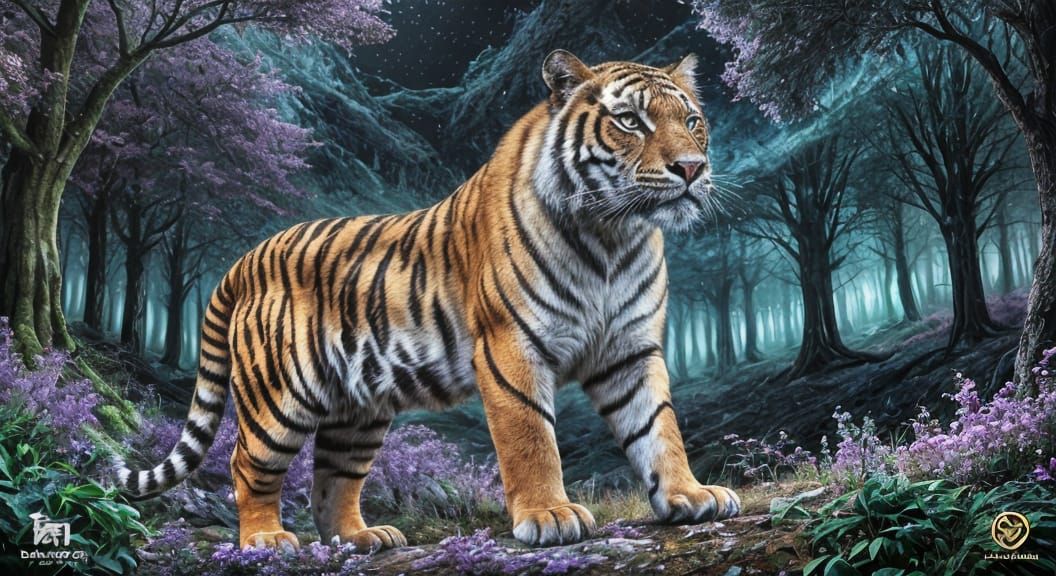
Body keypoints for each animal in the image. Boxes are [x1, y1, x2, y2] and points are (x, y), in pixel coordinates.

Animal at [117, 49, 740, 550]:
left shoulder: (630, 350)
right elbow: (531, 438)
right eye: (630, 121)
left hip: (358, 412)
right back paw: (266, 540)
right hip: (278, 397)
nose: (692, 168)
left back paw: (362, 538)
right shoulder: (512, 348)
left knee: (332, 480)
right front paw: (549, 514)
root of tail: (245, 259)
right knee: (247, 464)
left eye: (692, 121)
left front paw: (690, 495)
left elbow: (659, 428)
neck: (614, 236)